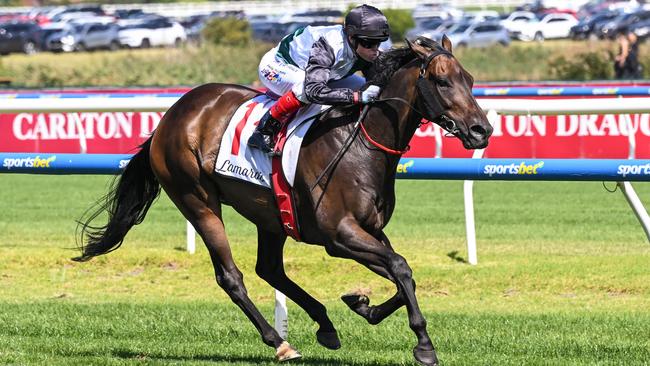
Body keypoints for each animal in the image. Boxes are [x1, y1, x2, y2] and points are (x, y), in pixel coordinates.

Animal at [76, 36, 488, 366]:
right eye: (441, 81)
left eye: (469, 80)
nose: (482, 130)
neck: (360, 143)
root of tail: (170, 116)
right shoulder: (340, 236)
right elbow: (401, 268)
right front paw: (424, 345)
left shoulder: (369, 230)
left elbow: (404, 275)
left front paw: (363, 305)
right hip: (196, 199)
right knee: (232, 277)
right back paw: (280, 342)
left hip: (270, 214)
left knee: (270, 269)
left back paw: (324, 325)